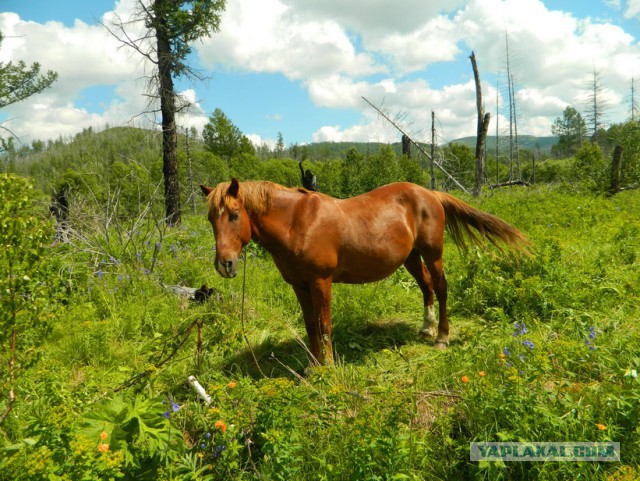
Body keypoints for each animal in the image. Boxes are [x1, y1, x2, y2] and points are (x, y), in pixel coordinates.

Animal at [200, 179, 528, 364]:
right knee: (426, 287)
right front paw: (312, 366)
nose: (225, 265)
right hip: (411, 257)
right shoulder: (299, 285)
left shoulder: (321, 282)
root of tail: (431, 194)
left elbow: (324, 325)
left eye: (234, 215)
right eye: (210, 219)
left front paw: (328, 367)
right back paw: (426, 327)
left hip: (433, 253)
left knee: (441, 287)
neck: (297, 223)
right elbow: (310, 326)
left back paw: (441, 337)